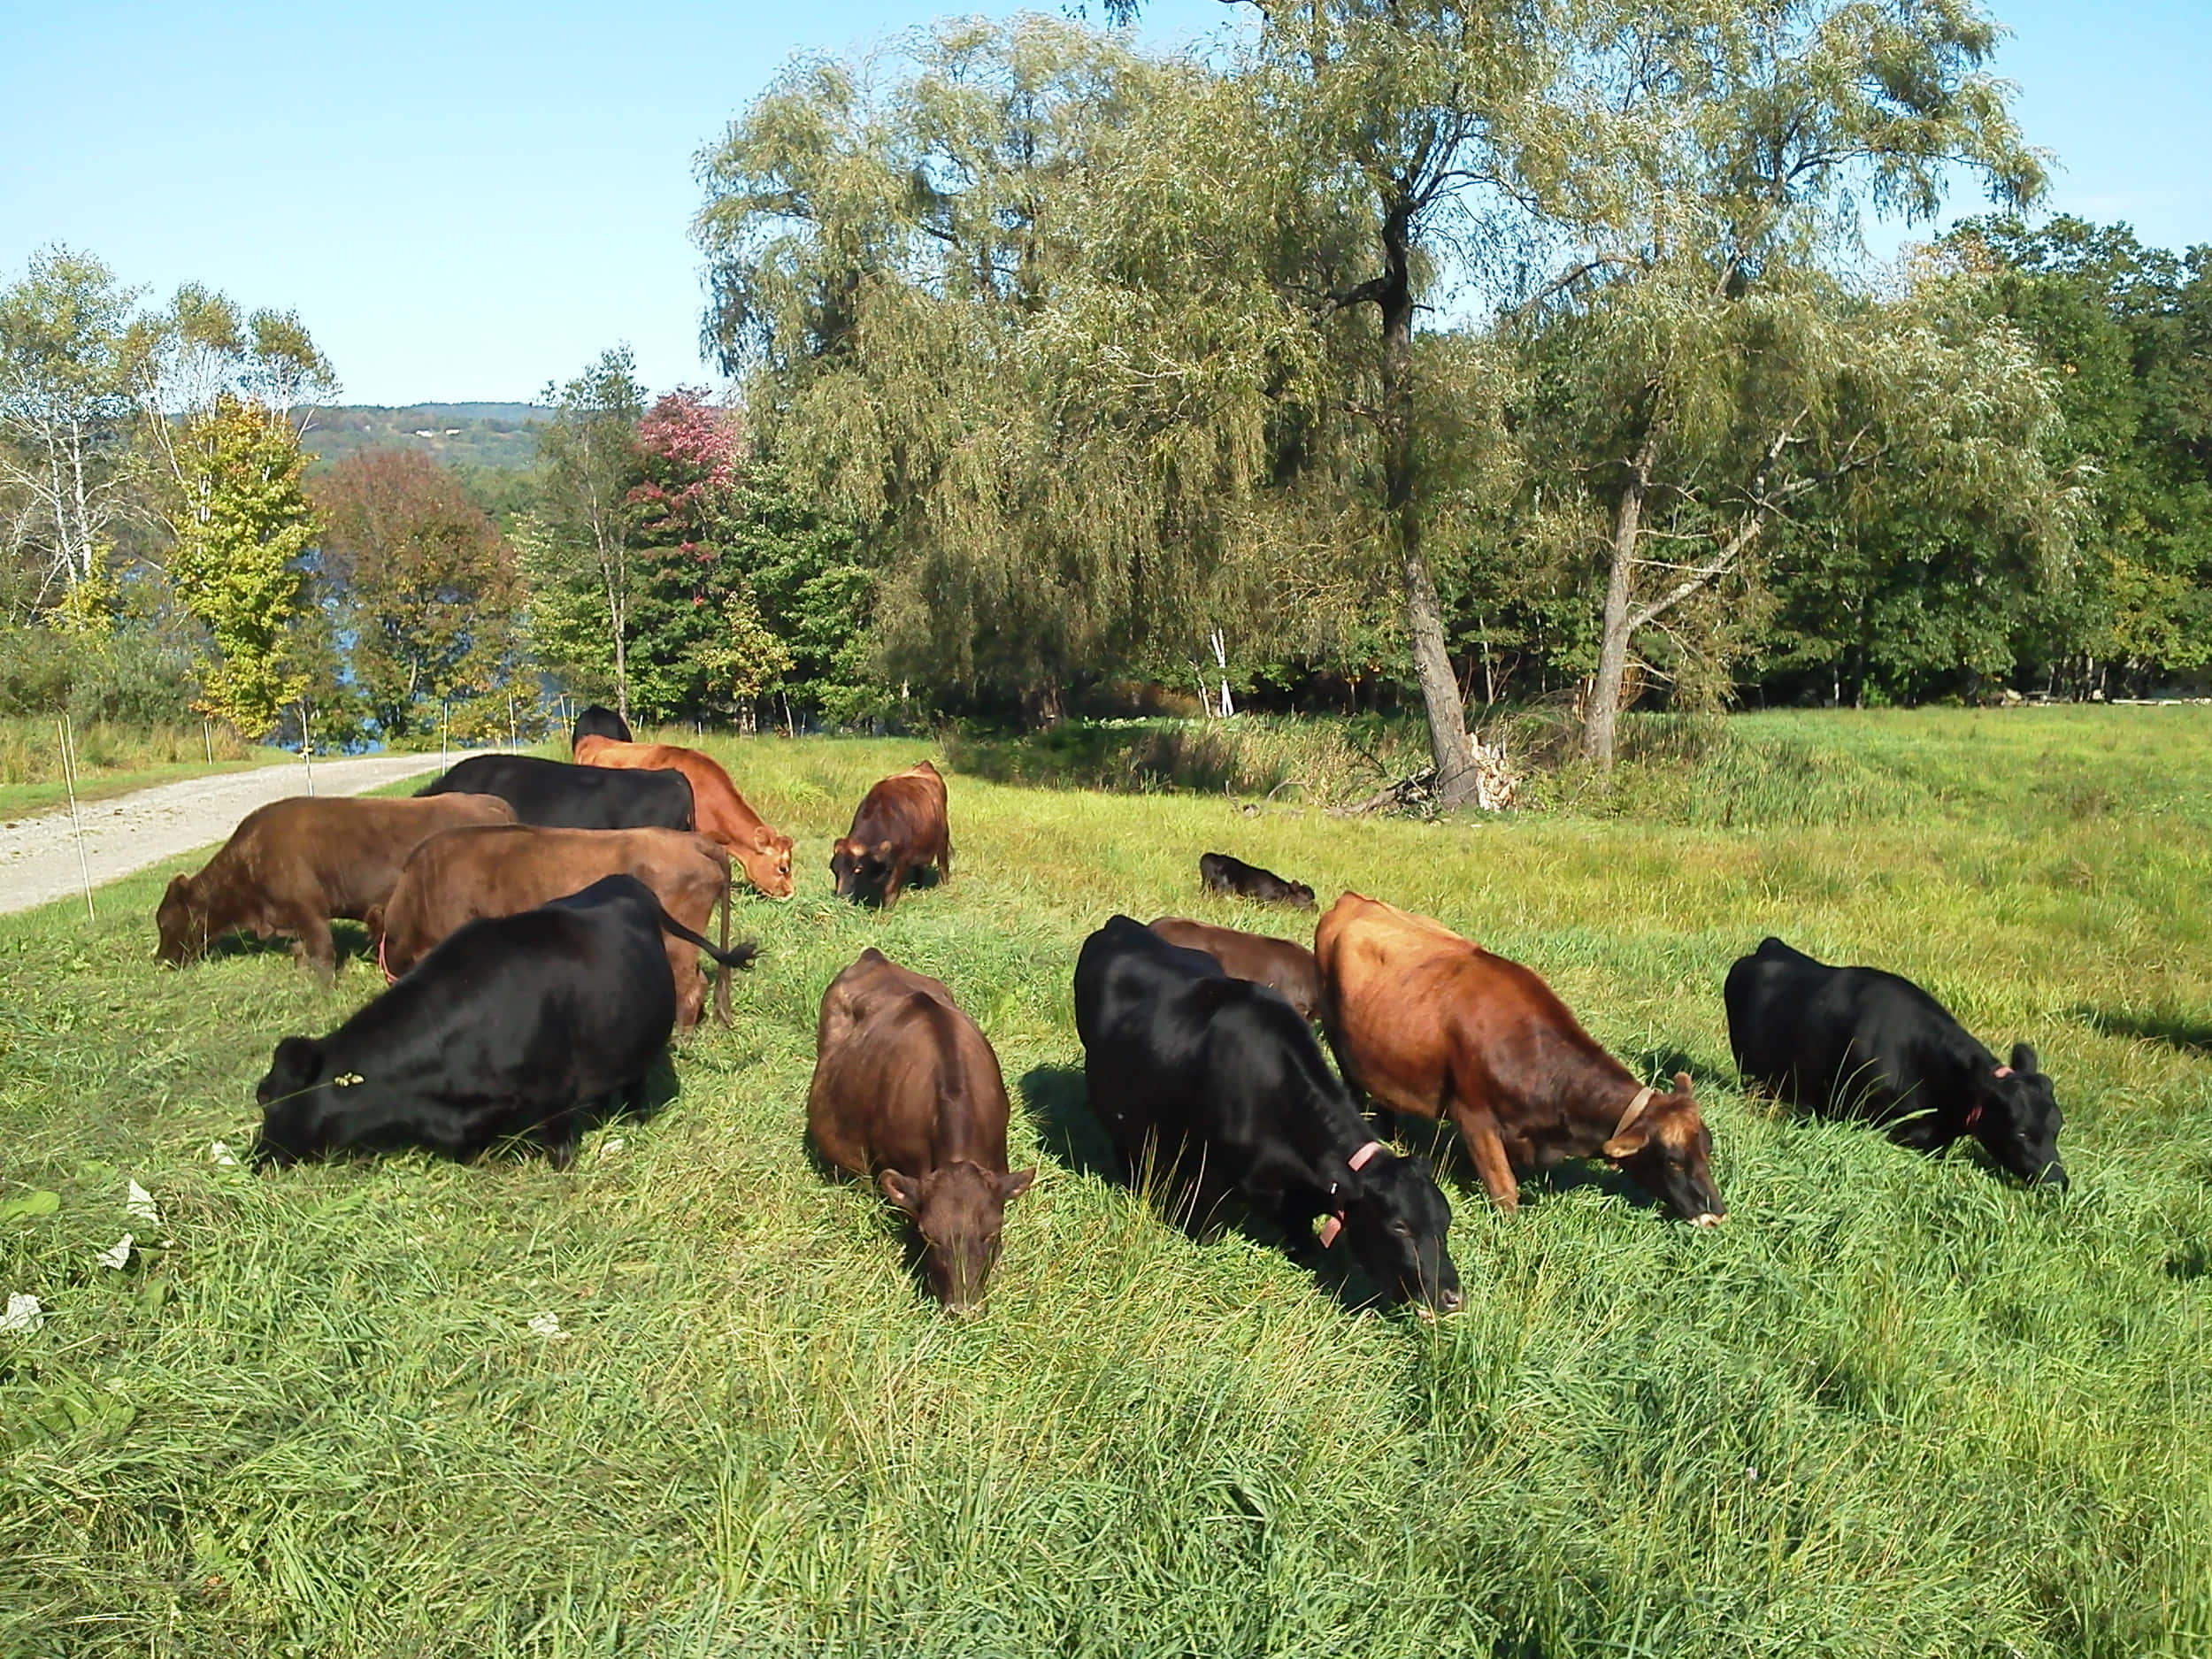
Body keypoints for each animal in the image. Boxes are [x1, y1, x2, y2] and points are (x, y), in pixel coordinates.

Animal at [155, 793, 515, 979]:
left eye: (167, 921)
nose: (160, 960)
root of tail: (488, 802)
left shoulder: (310, 912)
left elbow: (322, 954)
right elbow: (300, 951)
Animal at [253, 875, 759, 1169]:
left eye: (276, 1104)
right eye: (263, 1096)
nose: (257, 1159)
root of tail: (631, 884)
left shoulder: (556, 1098)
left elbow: (559, 1151)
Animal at [830, 761, 951, 911]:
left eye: (858, 869)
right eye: (834, 869)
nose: (841, 898)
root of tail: (925, 765)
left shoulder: (900, 862)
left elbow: (890, 890)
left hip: (943, 837)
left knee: (943, 865)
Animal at [1316, 893, 1724, 1226]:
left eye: (1707, 1146)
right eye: (1672, 1160)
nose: (1716, 1213)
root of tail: (1353, 900)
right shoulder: (1474, 1117)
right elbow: (1504, 1190)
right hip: (1339, 1038)